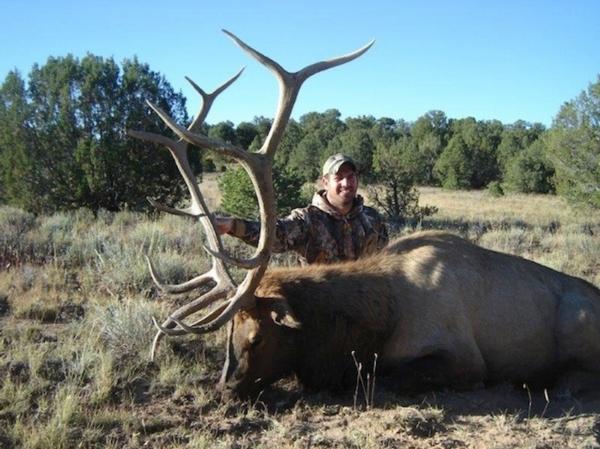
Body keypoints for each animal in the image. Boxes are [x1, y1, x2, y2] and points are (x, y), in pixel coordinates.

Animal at [130, 30, 600, 396]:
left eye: (259, 336)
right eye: (229, 336)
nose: (224, 389)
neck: (376, 320)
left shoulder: (464, 358)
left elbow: (383, 376)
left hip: (577, 326)